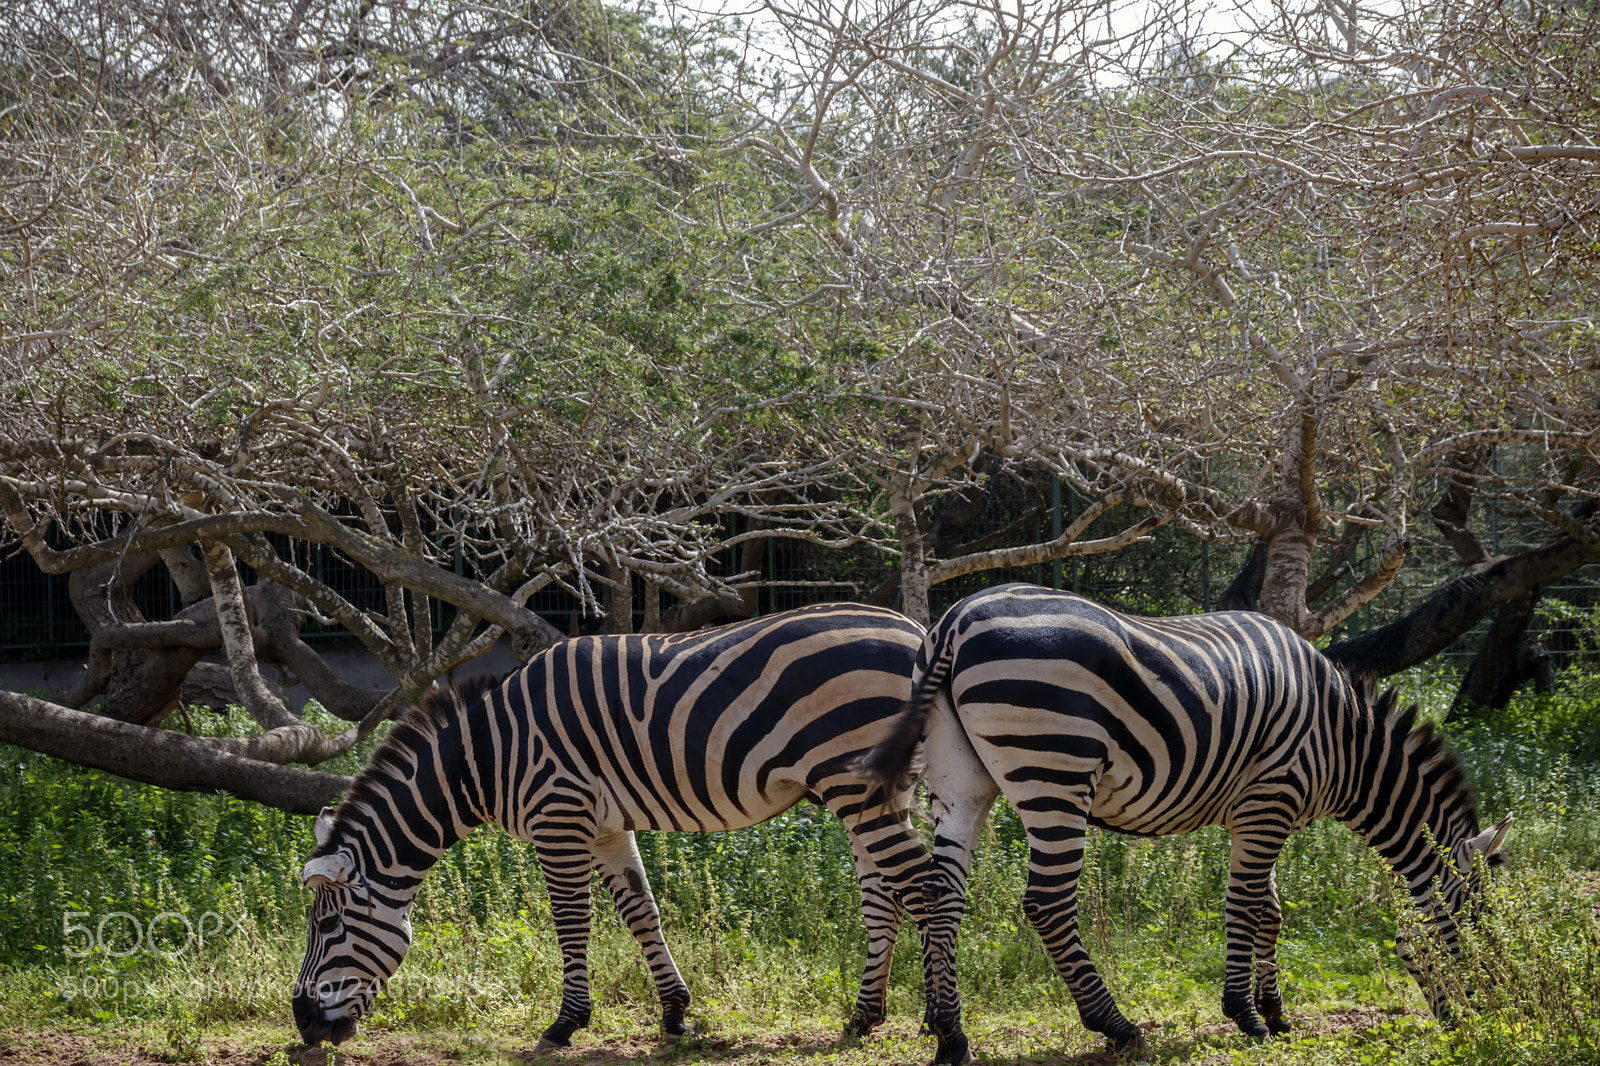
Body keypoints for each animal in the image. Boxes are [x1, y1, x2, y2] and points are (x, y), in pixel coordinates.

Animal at [295, 603, 936, 1051]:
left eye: (326, 926)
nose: (302, 1026)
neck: (482, 759)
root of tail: (916, 631)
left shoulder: (558, 815)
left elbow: (571, 922)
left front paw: (565, 1023)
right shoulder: (603, 826)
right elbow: (641, 911)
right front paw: (675, 1012)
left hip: (852, 778)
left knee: (922, 886)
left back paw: (936, 1021)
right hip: (872, 786)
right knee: (886, 894)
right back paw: (864, 1017)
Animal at [859, 583, 1513, 1062]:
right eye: (1479, 924)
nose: (1496, 1013)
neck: (1345, 745)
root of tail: (954, 621)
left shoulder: (1255, 812)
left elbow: (1270, 908)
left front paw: (1275, 1011)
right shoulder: (1270, 798)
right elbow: (1246, 904)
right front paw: (1246, 1015)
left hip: (961, 780)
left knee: (940, 893)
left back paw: (951, 1034)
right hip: (1054, 770)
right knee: (1047, 904)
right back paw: (1117, 1027)